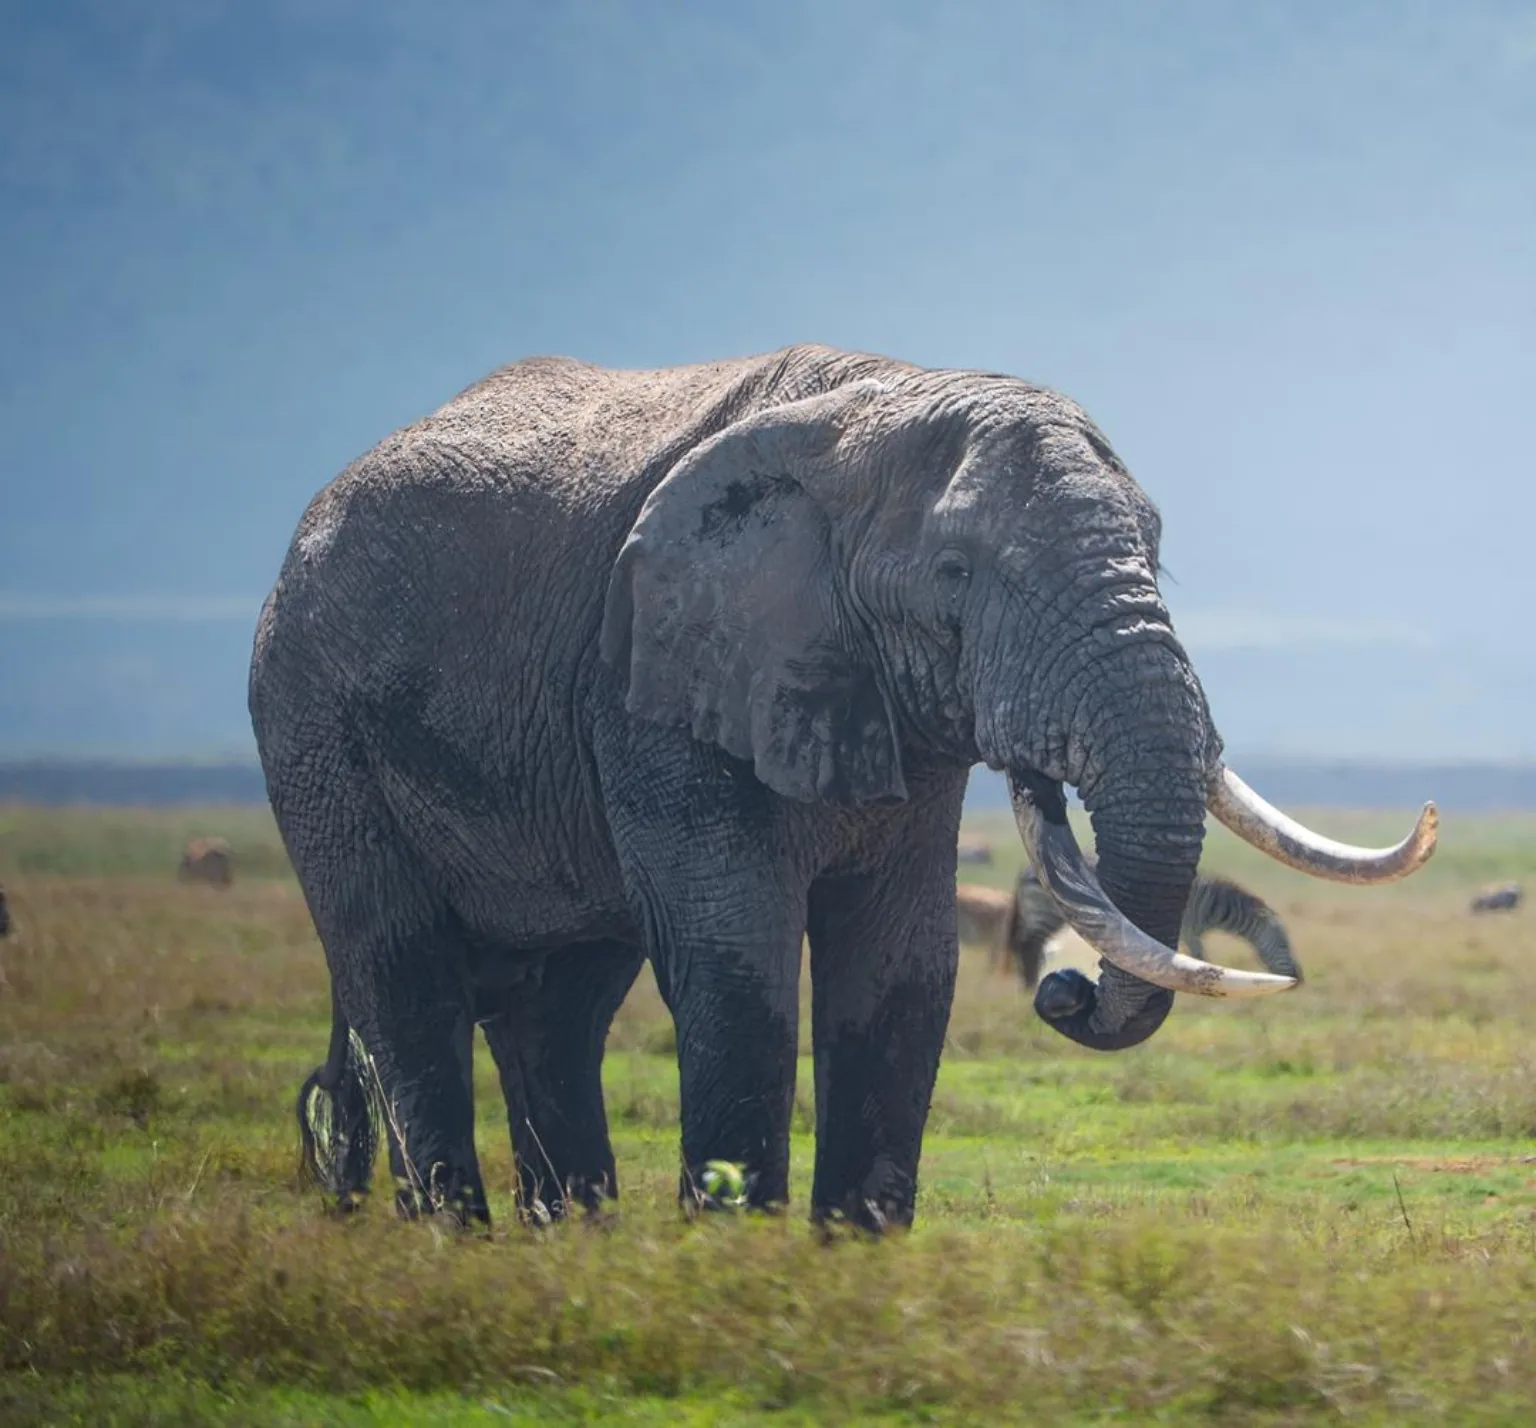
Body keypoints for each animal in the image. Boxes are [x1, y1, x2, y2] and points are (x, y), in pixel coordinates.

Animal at [1001, 861, 1300, 991]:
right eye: (1284, 942)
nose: (1300, 979)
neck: (1210, 903)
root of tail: (1025, 869)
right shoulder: (1188, 927)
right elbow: (1195, 957)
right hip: (1047, 913)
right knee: (1029, 945)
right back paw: (1028, 986)